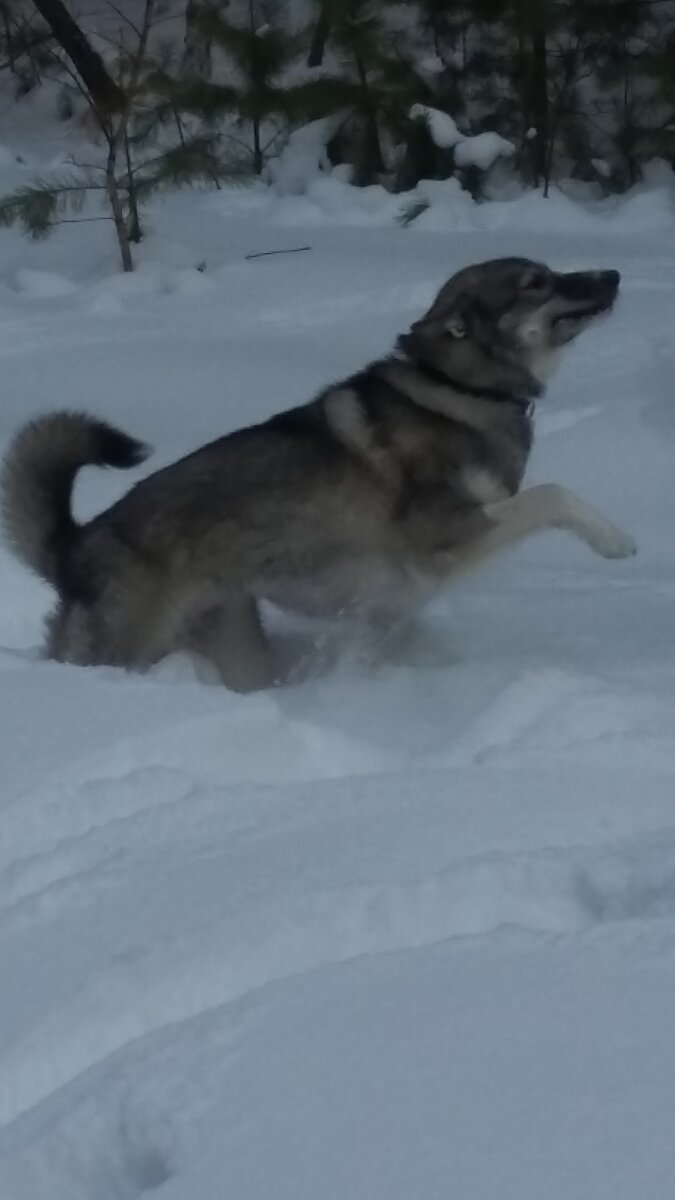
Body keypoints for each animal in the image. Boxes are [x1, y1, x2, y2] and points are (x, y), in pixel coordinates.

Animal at [0, 260, 634, 696]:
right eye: (535, 281)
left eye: (548, 271)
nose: (613, 274)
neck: (462, 391)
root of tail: (76, 546)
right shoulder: (442, 540)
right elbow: (553, 495)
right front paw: (616, 540)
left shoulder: (389, 607)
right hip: (127, 651)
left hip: (240, 650)